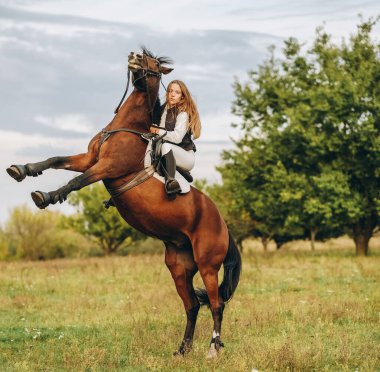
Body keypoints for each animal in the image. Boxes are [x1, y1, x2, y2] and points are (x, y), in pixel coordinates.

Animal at [5, 48, 242, 358]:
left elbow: (77, 181)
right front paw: (22, 170)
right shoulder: (89, 158)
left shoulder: (106, 166)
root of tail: (223, 224)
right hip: (179, 266)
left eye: (152, 62)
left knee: (216, 304)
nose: (133, 55)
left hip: (208, 266)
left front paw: (48, 197)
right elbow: (56, 160)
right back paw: (182, 350)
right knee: (192, 306)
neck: (126, 128)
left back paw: (213, 349)